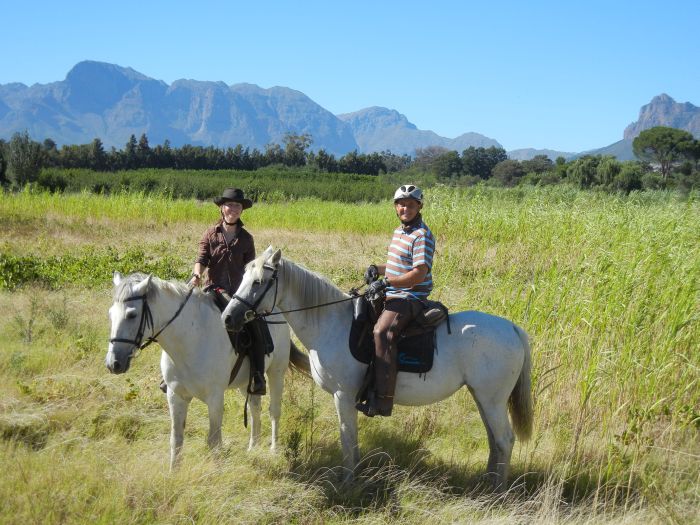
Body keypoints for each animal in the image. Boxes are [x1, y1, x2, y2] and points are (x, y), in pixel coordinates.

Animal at [106, 272, 306, 468]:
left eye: (132, 315)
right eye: (110, 314)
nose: (113, 363)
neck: (191, 339)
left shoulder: (215, 398)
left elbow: (214, 441)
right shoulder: (175, 395)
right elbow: (176, 439)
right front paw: (173, 472)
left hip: (276, 372)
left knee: (274, 411)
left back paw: (273, 450)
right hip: (247, 382)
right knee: (254, 408)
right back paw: (253, 448)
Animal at [221, 249, 532, 488]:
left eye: (258, 282)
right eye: (243, 278)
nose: (228, 317)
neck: (330, 323)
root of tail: (512, 328)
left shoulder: (343, 396)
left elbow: (347, 439)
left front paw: (348, 484)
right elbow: (353, 441)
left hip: (492, 399)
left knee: (504, 439)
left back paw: (497, 491)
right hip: (483, 397)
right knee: (494, 440)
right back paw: (488, 482)